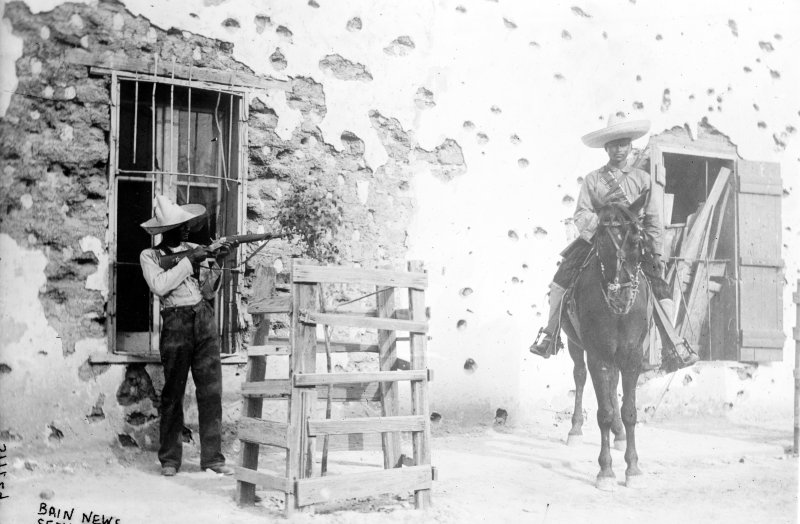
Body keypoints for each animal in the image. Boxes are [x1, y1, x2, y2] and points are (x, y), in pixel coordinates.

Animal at [560, 193, 652, 492]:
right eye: (601, 233)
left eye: (635, 235)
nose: (619, 291)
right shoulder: (597, 355)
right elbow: (604, 413)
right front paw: (606, 471)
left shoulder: (632, 356)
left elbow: (629, 411)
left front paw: (633, 468)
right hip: (576, 345)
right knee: (579, 377)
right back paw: (575, 429)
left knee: (612, 388)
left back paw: (619, 434)